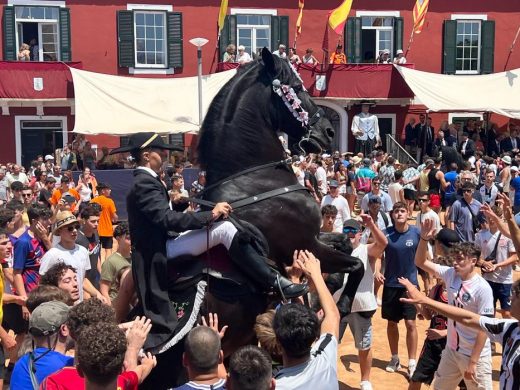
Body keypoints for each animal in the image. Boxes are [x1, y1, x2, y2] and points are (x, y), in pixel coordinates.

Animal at [142, 49, 362, 390]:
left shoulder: (313, 239)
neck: (256, 180)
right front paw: (338, 302)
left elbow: (345, 245)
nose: (328, 132)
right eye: (296, 88)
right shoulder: (302, 245)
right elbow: (357, 264)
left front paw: (330, 287)